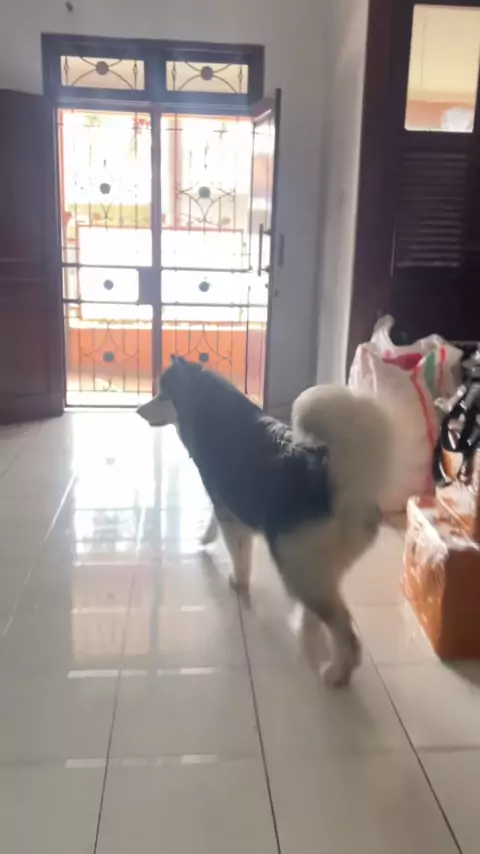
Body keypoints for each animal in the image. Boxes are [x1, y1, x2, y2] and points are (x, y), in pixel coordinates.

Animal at [137, 357, 392, 686]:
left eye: (163, 396)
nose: (138, 410)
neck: (210, 410)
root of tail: (332, 481)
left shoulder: (230, 513)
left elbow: (239, 555)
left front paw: (238, 580)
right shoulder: (226, 500)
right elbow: (216, 521)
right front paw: (206, 537)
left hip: (295, 561)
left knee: (342, 626)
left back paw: (337, 672)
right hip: (317, 565)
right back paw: (310, 625)